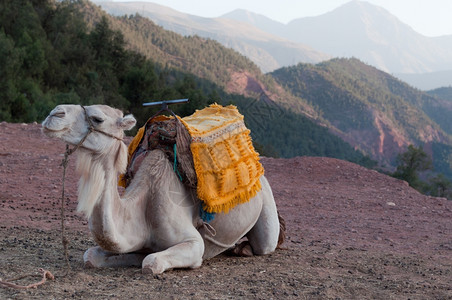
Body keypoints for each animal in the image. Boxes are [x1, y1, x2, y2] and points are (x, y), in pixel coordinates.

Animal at [41, 105, 282, 274]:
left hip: (267, 199)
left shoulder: (194, 243)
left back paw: (244, 249)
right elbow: (91, 256)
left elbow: (151, 261)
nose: (54, 113)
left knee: (266, 244)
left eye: (97, 118)